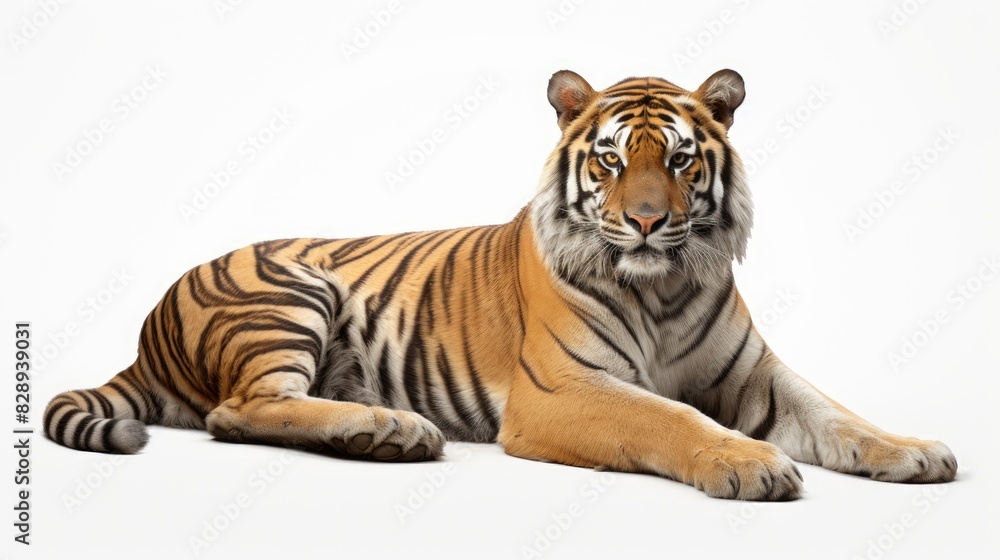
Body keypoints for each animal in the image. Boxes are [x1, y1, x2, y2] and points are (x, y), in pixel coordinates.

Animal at [44, 69, 957, 501]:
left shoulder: (756, 374)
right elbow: (668, 418)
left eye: (681, 160)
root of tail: (144, 333)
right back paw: (388, 428)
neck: (662, 288)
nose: (648, 223)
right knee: (240, 410)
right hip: (289, 289)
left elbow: (838, 415)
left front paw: (914, 450)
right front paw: (748, 463)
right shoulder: (561, 389)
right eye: (612, 160)